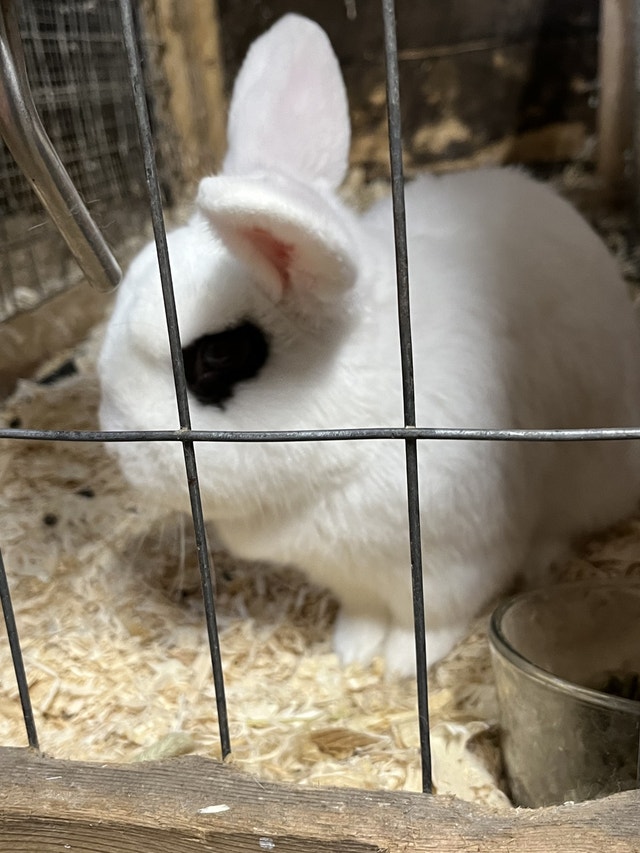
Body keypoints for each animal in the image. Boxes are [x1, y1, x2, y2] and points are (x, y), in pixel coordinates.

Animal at [98, 13, 640, 677]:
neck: (359, 439)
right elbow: (363, 611)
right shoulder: (347, 575)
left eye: (217, 356)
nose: (118, 448)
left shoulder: (457, 561)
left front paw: (405, 664)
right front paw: (353, 649)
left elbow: (432, 617)